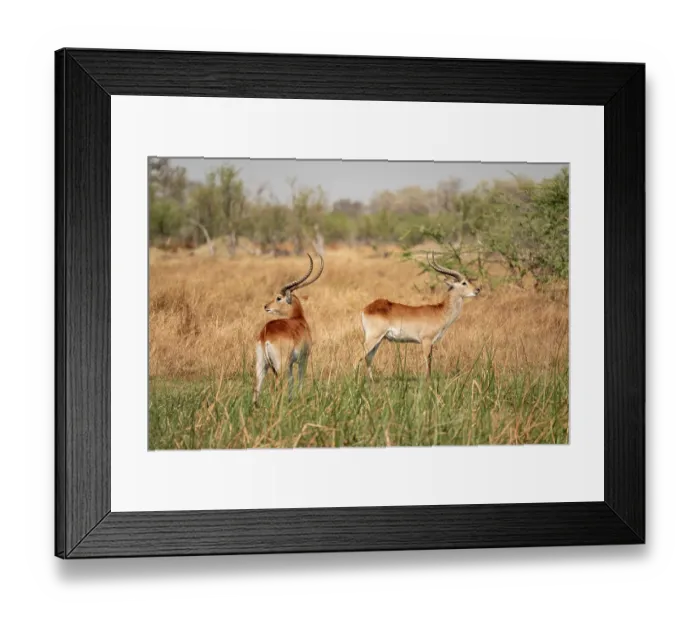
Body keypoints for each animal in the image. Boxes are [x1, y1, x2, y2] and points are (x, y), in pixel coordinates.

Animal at [253, 253, 324, 405]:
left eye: (278, 297)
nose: (266, 306)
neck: (298, 320)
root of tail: (265, 335)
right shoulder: (303, 359)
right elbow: (300, 379)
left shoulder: (291, 364)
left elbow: (292, 381)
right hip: (281, 365)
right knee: (278, 385)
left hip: (261, 364)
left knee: (257, 387)